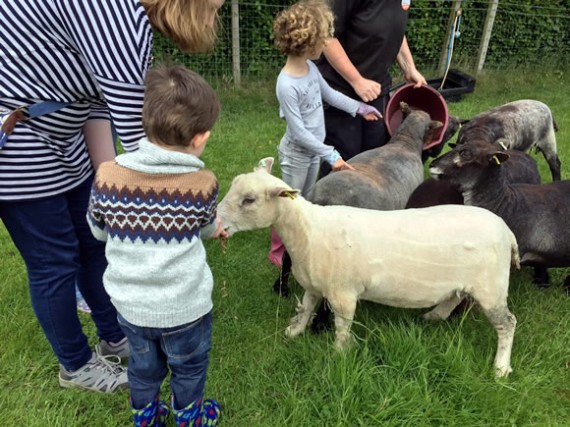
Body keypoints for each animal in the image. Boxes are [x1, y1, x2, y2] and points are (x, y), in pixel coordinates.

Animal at [217, 160, 520, 378]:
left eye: (249, 200)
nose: (217, 223)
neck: (308, 230)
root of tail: (506, 231)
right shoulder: (315, 284)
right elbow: (306, 308)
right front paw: (294, 332)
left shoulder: (342, 294)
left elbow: (341, 326)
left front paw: (338, 355)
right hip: (467, 280)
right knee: (456, 296)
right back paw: (433, 316)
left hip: (491, 286)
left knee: (507, 323)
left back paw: (501, 368)